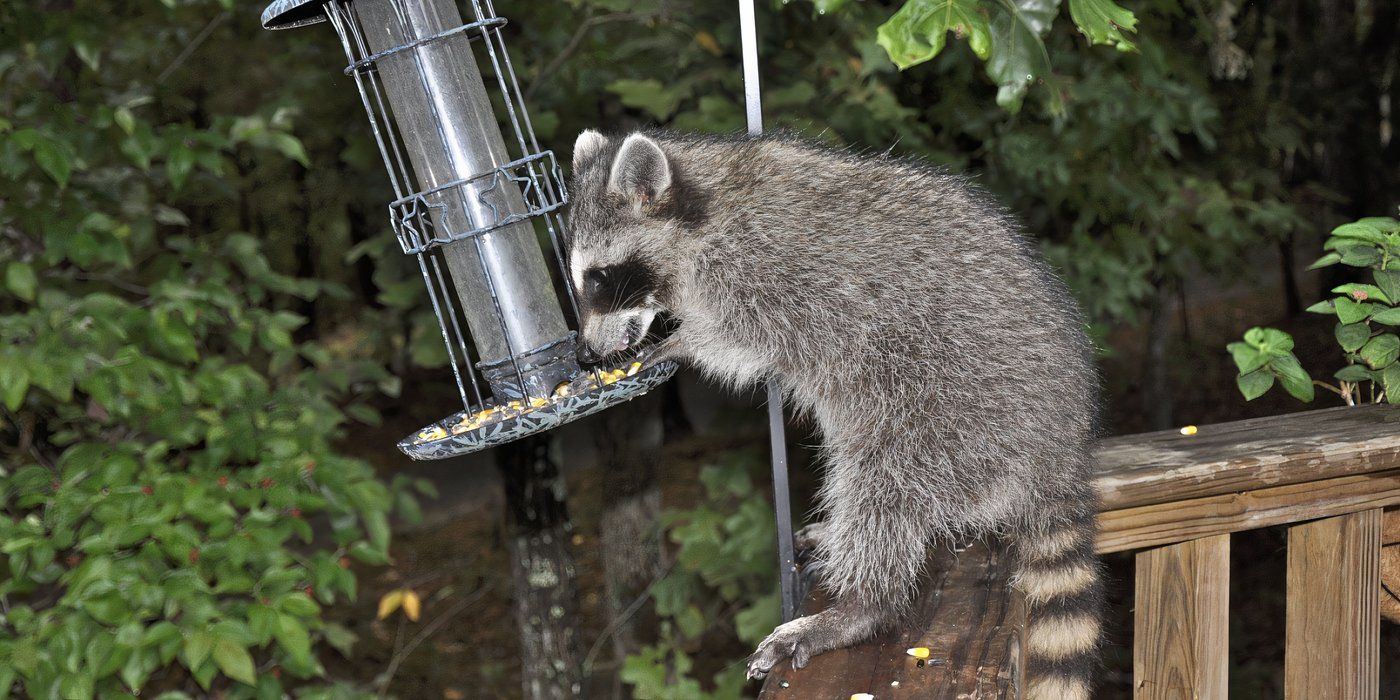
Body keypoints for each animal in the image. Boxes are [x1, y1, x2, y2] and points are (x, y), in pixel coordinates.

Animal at [565, 129, 1104, 699]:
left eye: (599, 278)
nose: (585, 353)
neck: (704, 215)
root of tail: (1062, 448)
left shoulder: (778, 275)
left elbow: (747, 339)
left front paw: (680, 344)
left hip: (958, 406)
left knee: (888, 482)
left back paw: (864, 603)